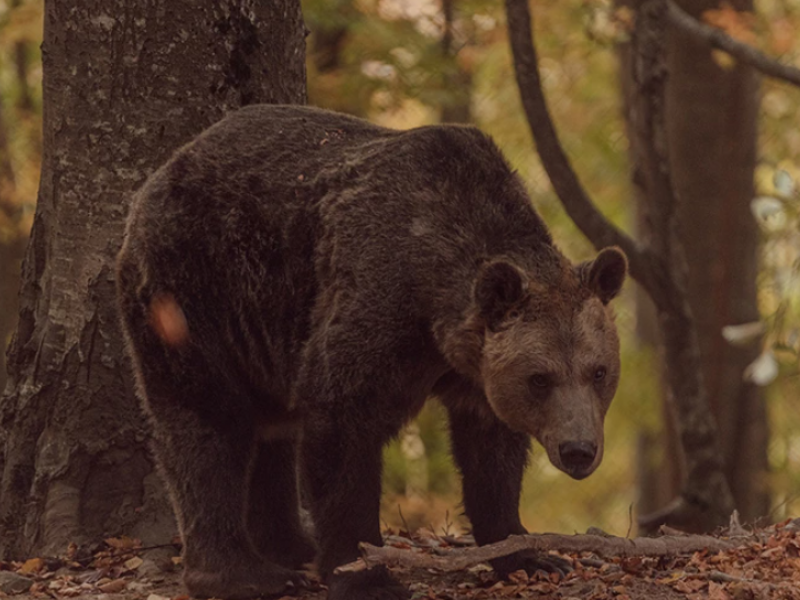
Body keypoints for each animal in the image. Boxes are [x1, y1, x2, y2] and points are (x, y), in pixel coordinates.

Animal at [117, 105, 624, 600]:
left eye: (598, 372)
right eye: (540, 377)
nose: (579, 450)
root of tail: (161, 173)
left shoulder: (477, 372)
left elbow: (491, 456)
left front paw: (531, 556)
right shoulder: (378, 304)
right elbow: (342, 429)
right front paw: (366, 574)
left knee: (273, 433)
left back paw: (293, 546)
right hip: (195, 292)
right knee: (207, 424)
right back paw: (244, 573)